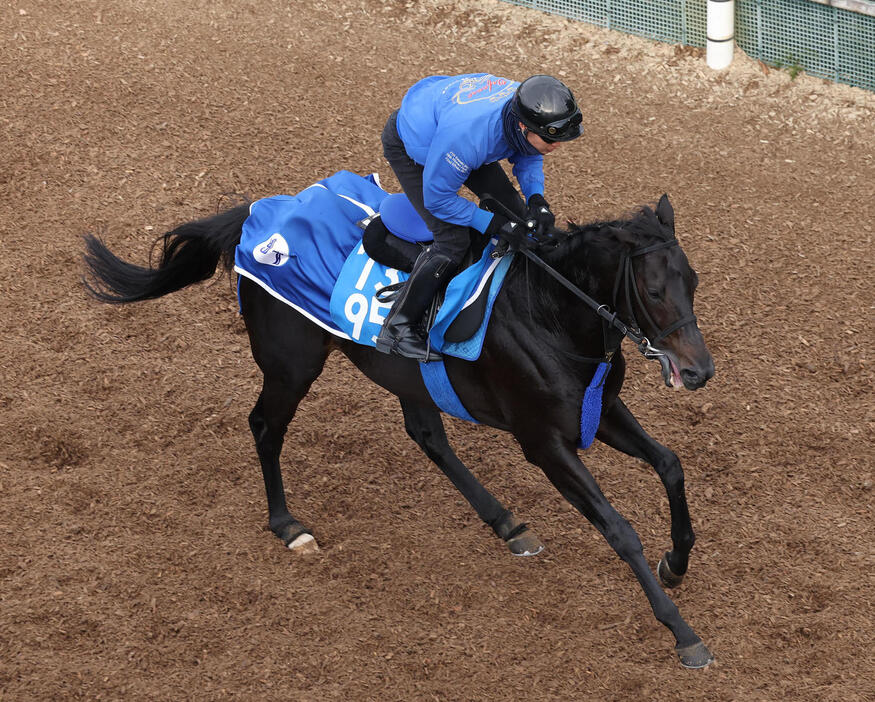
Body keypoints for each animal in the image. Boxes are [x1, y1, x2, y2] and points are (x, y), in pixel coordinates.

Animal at [82, 184, 716, 668]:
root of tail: (260, 216)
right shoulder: (543, 442)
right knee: (265, 426)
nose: (699, 370)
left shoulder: (599, 410)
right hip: (293, 364)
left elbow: (670, 463)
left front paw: (677, 562)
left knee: (427, 436)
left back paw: (507, 524)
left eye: (694, 281)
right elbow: (619, 528)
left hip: (406, 375)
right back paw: (288, 525)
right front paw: (683, 633)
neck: (548, 313)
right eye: (653, 290)